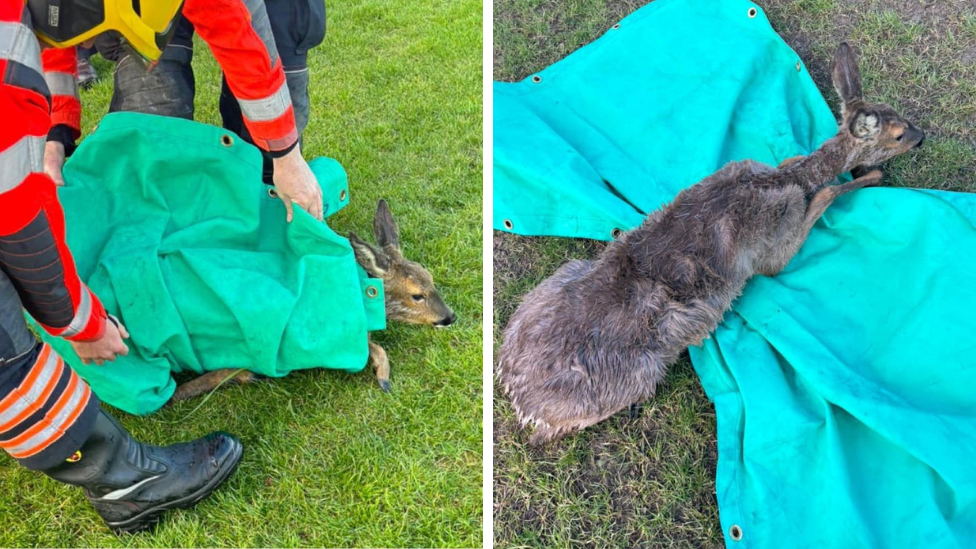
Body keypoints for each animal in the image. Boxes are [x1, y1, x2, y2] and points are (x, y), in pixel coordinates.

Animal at [500, 42, 928, 446]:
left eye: (899, 117)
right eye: (897, 134)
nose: (922, 137)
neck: (781, 181)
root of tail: (521, 401)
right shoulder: (773, 247)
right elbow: (820, 201)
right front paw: (871, 175)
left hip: (556, 280)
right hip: (638, 373)